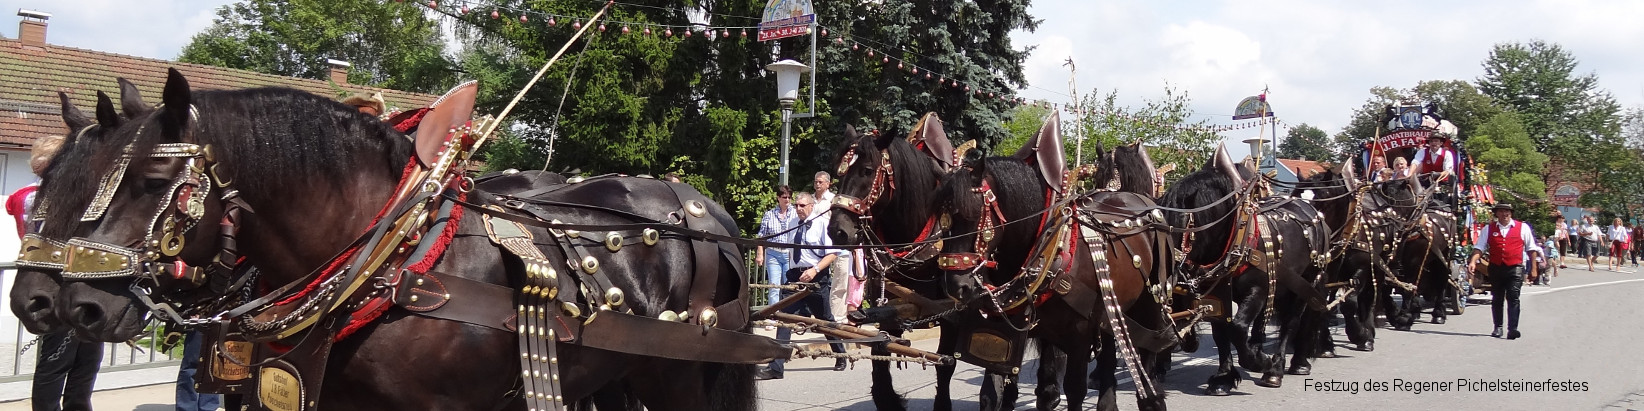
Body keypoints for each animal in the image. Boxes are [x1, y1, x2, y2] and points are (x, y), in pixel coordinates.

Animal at [16, 69, 759, 409]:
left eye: (150, 181)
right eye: (52, 180)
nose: (46, 301)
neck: (394, 259)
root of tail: (703, 209)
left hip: (679, 376)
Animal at [1157, 147, 1334, 394]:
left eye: (1179, 228)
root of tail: (1312, 211)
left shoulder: (1257, 290)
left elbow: (1238, 327)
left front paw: (1257, 362)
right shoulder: (1217, 296)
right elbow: (1221, 334)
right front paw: (1224, 377)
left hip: (1306, 283)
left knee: (1292, 323)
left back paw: (1281, 367)